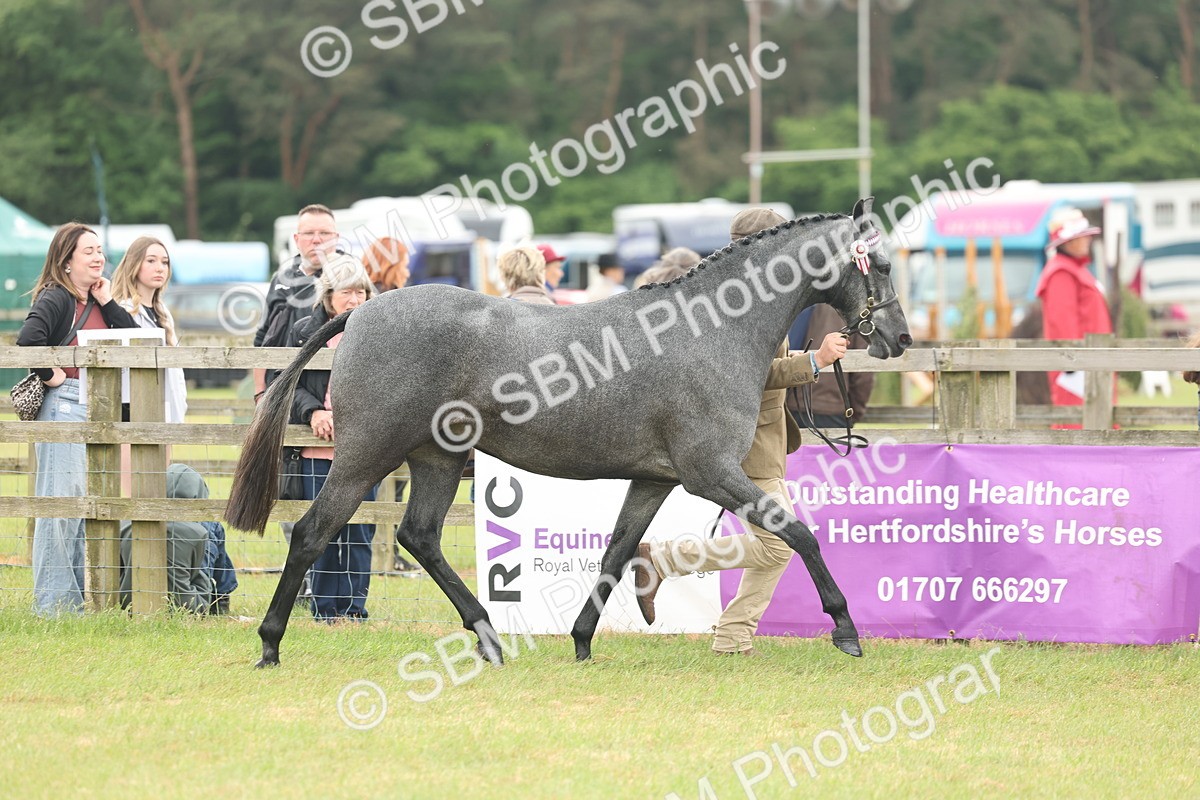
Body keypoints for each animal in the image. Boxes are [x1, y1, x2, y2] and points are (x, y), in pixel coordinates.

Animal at [226, 199, 911, 668]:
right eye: (878, 263)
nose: (899, 338)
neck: (710, 331)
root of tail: (361, 311)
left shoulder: (653, 479)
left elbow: (615, 553)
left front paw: (582, 642)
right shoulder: (711, 472)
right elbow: (798, 534)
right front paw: (847, 631)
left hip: (437, 459)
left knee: (420, 537)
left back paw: (490, 640)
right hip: (364, 458)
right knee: (313, 533)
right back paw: (270, 645)